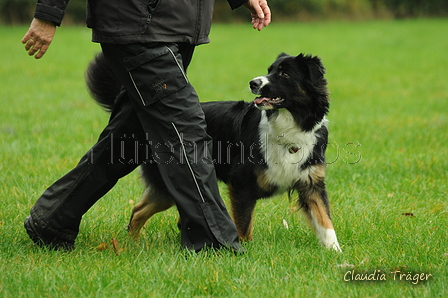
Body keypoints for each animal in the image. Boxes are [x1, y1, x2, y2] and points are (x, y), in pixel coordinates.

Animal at [86, 51, 342, 251]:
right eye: (269, 70)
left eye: (285, 74)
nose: (253, 83)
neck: (291, 125)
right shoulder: (241, 183)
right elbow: (244, 225)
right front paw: (243, 251)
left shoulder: (311, 182)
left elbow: (325, 220)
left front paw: (336, 253)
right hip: (170, 184)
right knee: (139, 211)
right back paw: (130, 245)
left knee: (140, 210)